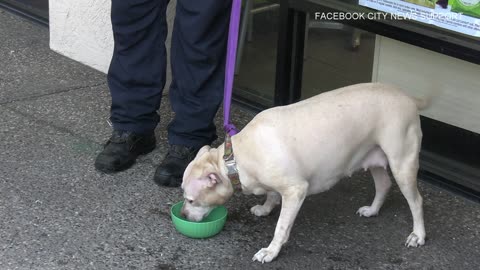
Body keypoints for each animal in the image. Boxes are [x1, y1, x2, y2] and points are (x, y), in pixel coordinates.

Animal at [180, 83, 428, 264]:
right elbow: (271, 194)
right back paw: (373, 210)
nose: (182, 215)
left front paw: (271, 251)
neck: (234, 160)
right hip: (374, 156)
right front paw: (265, 208)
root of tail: (407, 97)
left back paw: (418, 235)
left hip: (402, 163)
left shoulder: (296, 190)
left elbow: (281, 227)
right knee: (384, 184)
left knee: (416, 201)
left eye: (190, 200)